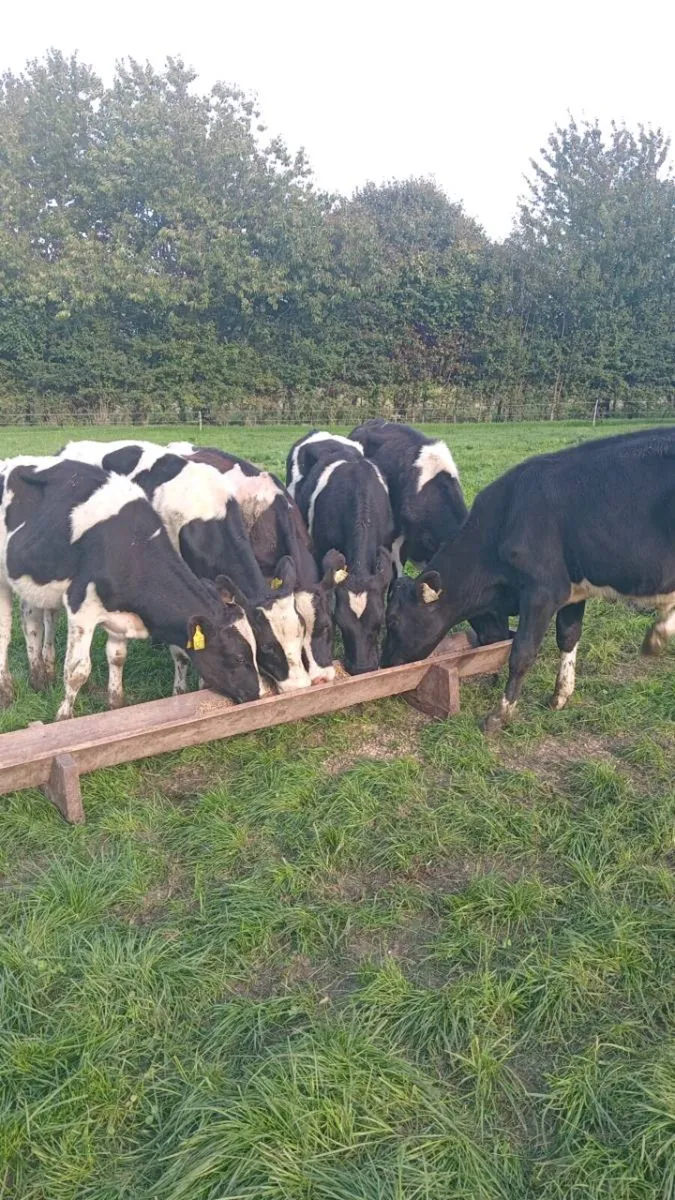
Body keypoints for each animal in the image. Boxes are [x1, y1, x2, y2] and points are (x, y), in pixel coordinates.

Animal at [0, 458, 264, 718]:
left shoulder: (120, 614)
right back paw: (7, 693)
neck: (131, 547)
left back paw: (39, 678)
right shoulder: (81, 607)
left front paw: (116, 705)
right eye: (238, 657)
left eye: (256, 650)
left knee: (31, 621)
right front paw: (64, 717)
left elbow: (117, 657)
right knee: (4, 632)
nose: (257, 693)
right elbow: (77, 670)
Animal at [59, 441, 313, 695]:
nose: (299, 686)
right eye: (267, 645)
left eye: (301, 631)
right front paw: (182, 689)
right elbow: (183, 649)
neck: (205, 513)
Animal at [382, 427, 675, 731]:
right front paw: (560, 696)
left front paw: (499, 715)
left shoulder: (543, 591)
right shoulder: (573, 589)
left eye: (392, 621)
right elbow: (568, 635)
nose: (385, 662)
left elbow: (522, 652)